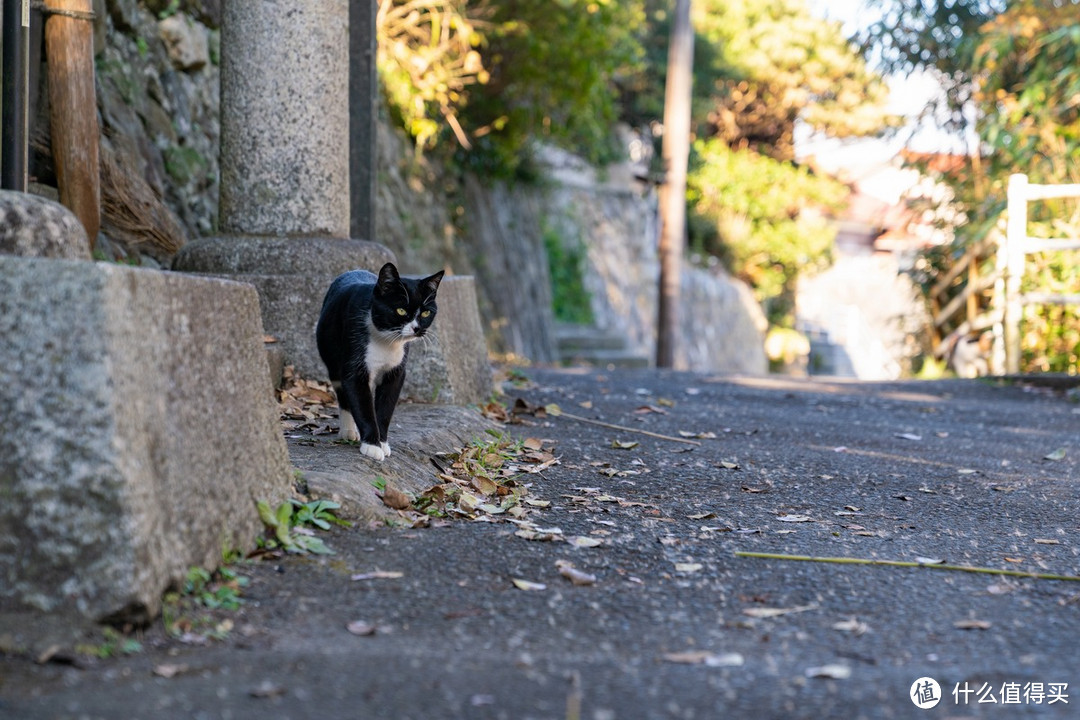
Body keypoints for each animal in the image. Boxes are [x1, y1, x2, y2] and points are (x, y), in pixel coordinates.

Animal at [315, 263, 442, 462]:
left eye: (426, 312)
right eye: (401, 310)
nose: (416, 328)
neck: (386, 341)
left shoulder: (396, 371)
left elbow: (385, 408)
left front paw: (382, 442)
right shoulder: (354, 364)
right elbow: (362, 405)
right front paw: (372, 445)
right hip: (331, 356)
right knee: (343, 394)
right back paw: (348, 430)